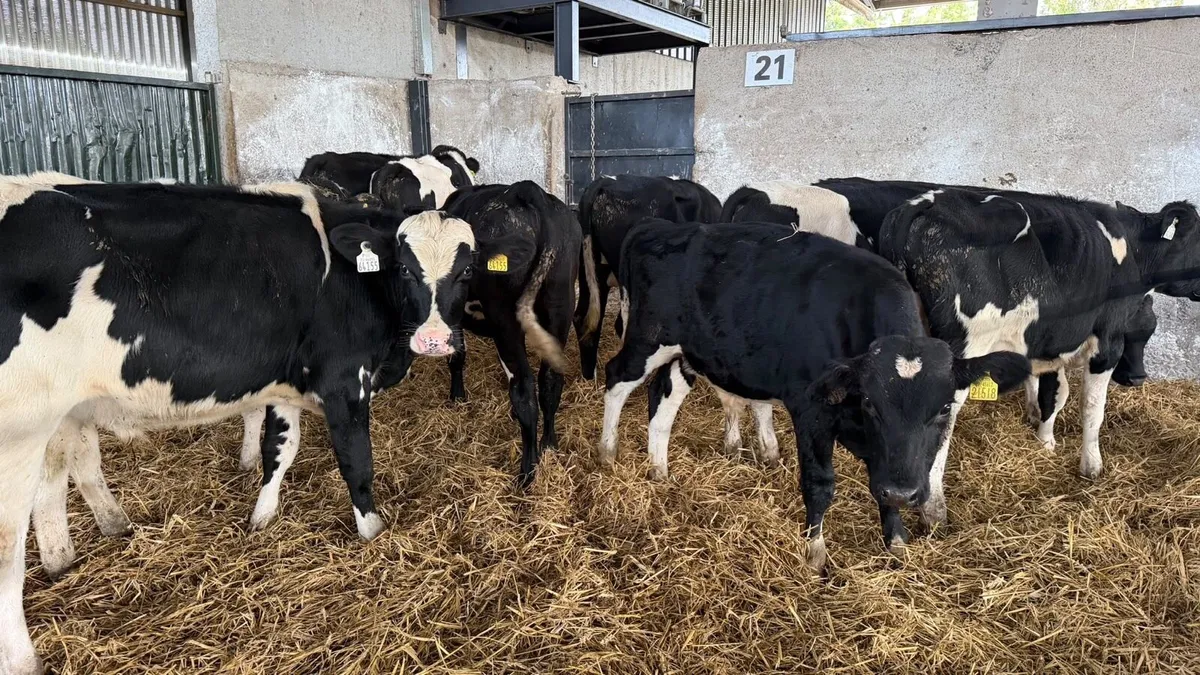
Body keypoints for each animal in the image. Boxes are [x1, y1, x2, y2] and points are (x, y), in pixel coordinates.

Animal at [0, 174, 476, 674]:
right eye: (404, 268)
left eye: (467, 271)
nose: (434, 339)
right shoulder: (345, 380)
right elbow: (356, 463)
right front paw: (373, 534)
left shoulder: (285, 385)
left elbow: (279, 450)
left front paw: (261, 517)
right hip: (19, 430)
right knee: (8, 550)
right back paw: (24, 658)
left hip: (58, 414)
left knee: (59, 474)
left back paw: (71, 554)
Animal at [443, 181, 581, 486]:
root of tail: (528, 191)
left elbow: (457, 356)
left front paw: (457, 397)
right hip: (559, 306)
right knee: (550, 381)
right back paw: (549, 445)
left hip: (505, 318)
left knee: (524, 388)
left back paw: (527, 473)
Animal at [596, 219, 1029, 571]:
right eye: (871, 403)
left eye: (943, 408)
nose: (905, 492)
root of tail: (657, 228)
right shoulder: (811, 411)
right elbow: (820, 484)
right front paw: (815, 552)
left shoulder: (886, 456)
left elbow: (883, 487)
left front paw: (896, 543)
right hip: (648, 339)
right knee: (617, 379)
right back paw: (607, 451)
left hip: (688, 353)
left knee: (664, 398)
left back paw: (659, 470)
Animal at [877, 187, 1200, 535]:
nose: (1138, 378)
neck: (1132, 250)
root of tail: (925, 202)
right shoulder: (1107, 339)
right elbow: (1091, 407)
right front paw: (1092, 466)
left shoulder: (1045, 342)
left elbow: (1053, 393)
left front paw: (1044, 439)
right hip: (962, 351)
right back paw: (934, 510)